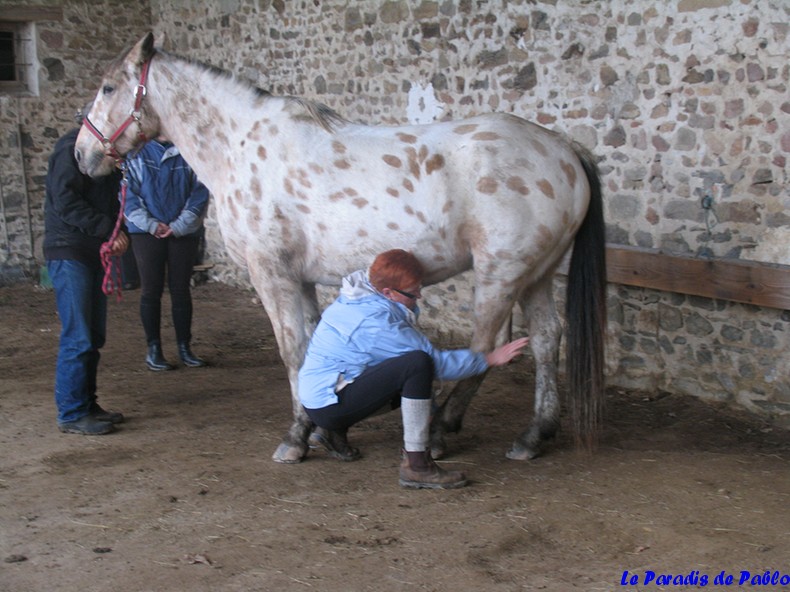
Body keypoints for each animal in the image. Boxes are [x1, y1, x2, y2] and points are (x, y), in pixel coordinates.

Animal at [76, 33, 608, 462]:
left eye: (107, 88)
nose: (82, 155)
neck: (240, 146)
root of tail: (563, 148)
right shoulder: (302, 279)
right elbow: (311, 349)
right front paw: (318, 429)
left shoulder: (271, 274)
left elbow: (291, 350)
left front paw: (295, 437)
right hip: (537, 273)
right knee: (546, 341)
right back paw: (533, 436)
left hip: (502, 273)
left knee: (486, 347)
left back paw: (440, 428)